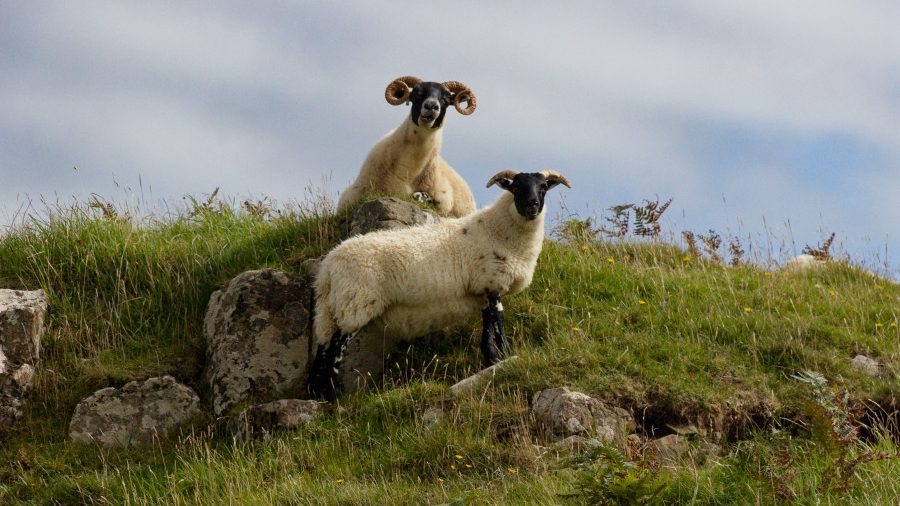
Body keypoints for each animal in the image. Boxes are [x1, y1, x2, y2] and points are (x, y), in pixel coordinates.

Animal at [309, 169, 571, 400]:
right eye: (516, 187)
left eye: (543, 187)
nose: (532, 206)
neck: (498, 228)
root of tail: (328, 267)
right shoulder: (492, 280)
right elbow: (497, 322)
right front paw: (506, 355)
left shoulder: (484, 287)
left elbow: (487, 325)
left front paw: (492, 359)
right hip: (355, 302)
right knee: (334, 352)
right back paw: (333, 398)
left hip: (331, 309)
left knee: (322, 349)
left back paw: (317, 395)